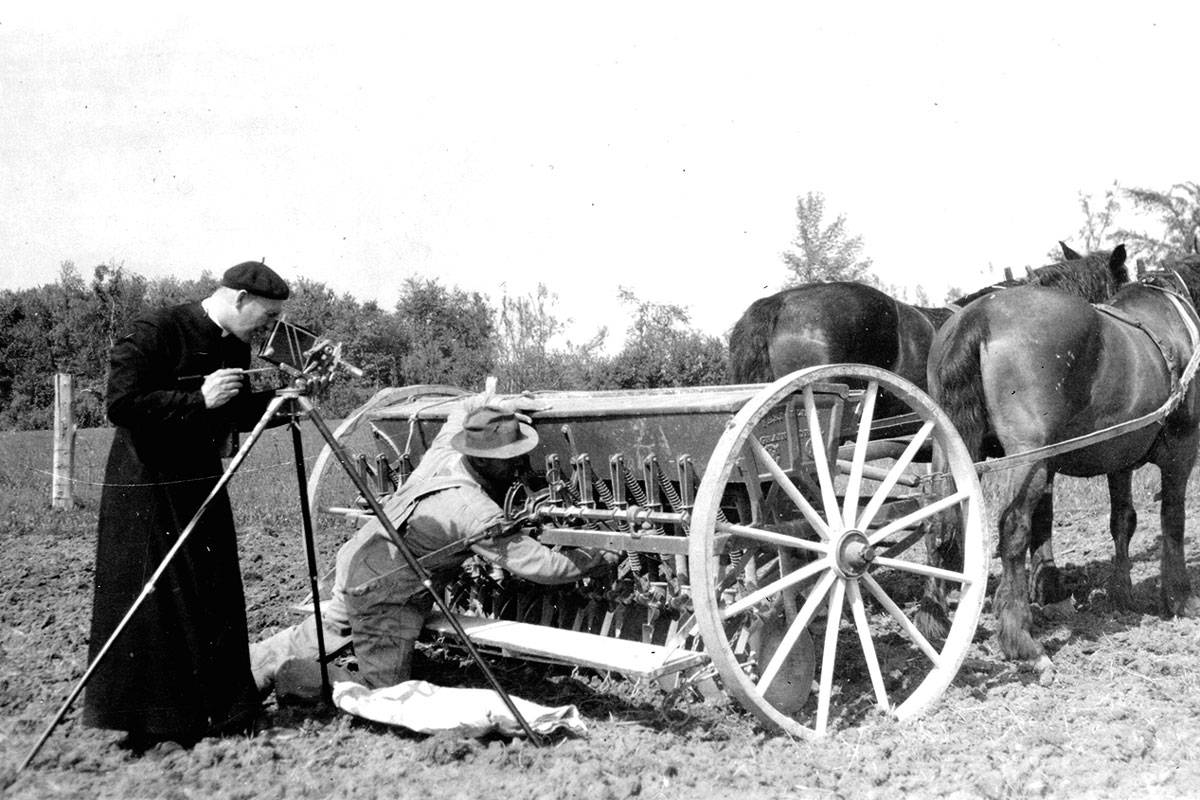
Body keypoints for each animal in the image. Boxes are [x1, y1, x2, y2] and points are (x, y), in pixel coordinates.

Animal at [931, 247, 1200, 662]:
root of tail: (978, 318)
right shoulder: (1181, 450)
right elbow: (1173, 521)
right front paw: (1180, 598)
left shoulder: (1118, 461)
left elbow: (1123, 520)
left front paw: (1122, 594)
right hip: (1029, 457)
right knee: (1012, 526)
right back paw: (1019, 636)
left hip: (951, 451)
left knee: (939, 521)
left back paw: (933, 621)